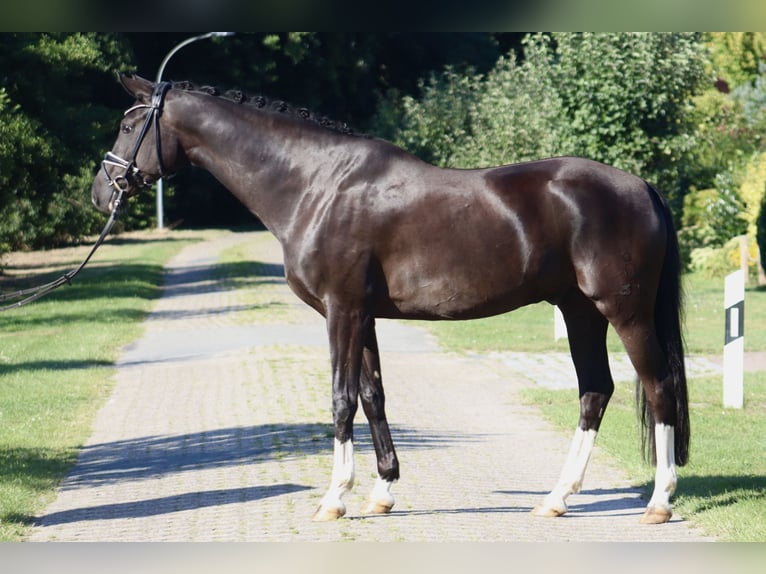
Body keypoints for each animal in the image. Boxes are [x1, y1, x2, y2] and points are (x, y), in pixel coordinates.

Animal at [90, 75, 688, 528]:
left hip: (624, 311)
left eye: (128, 124)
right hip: (579, 311)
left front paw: (335, 498)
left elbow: (341, 400)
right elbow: (373, 395)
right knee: (595, 391)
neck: (316, 184)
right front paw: (381, 492)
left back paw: (658, 502)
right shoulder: (365, 315)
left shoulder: (342, 311)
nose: (101, 192)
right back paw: (556, 498)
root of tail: (641, 187)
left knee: (657, 387)